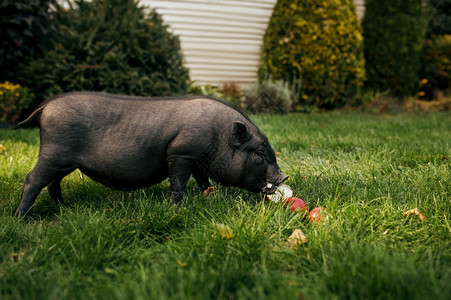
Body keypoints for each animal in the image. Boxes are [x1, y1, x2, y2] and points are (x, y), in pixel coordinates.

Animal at [15, 91, 290, 216]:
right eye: (259, 155)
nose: (284, 177)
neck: (218, 136)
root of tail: (45, 106)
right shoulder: (181, 153)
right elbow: (178, 183)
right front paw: (176, 209)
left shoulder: (198, 161)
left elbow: (203, 180)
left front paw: (209, 196)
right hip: (54, 153)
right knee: (33, 179)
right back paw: (21, 217)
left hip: (64, 161)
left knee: (53, 182)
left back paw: (64, 206)